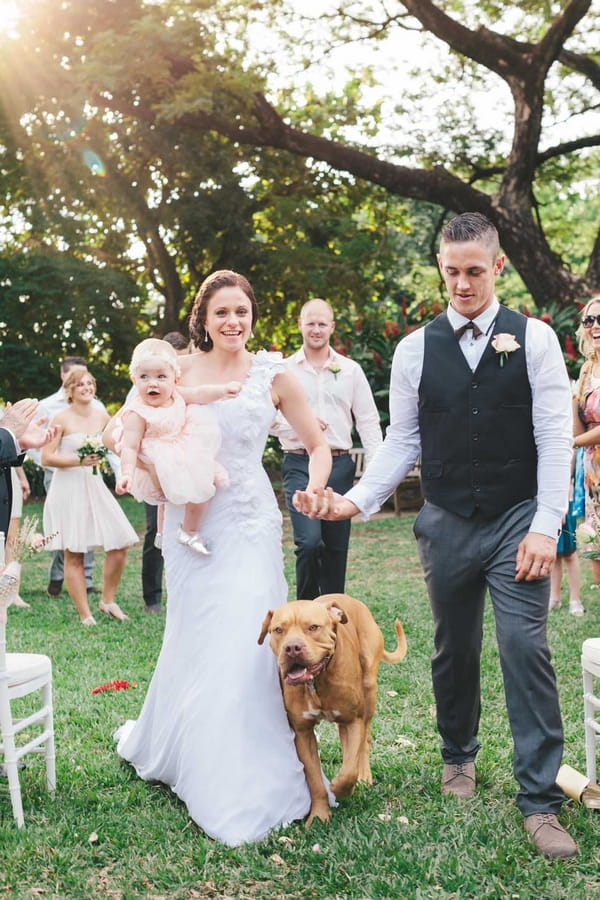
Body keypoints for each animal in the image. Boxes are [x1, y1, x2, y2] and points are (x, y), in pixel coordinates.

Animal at [258, 596, 408, 828]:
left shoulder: (354, 720)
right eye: (278, 629)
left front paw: (340, 788)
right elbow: (315, 780)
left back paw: (363, 776)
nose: (292, 648)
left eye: (313, 627)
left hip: (369, 691)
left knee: (364, 742)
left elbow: (349, 771)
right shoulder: (303, 733)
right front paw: (319, 816)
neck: (317, 681)